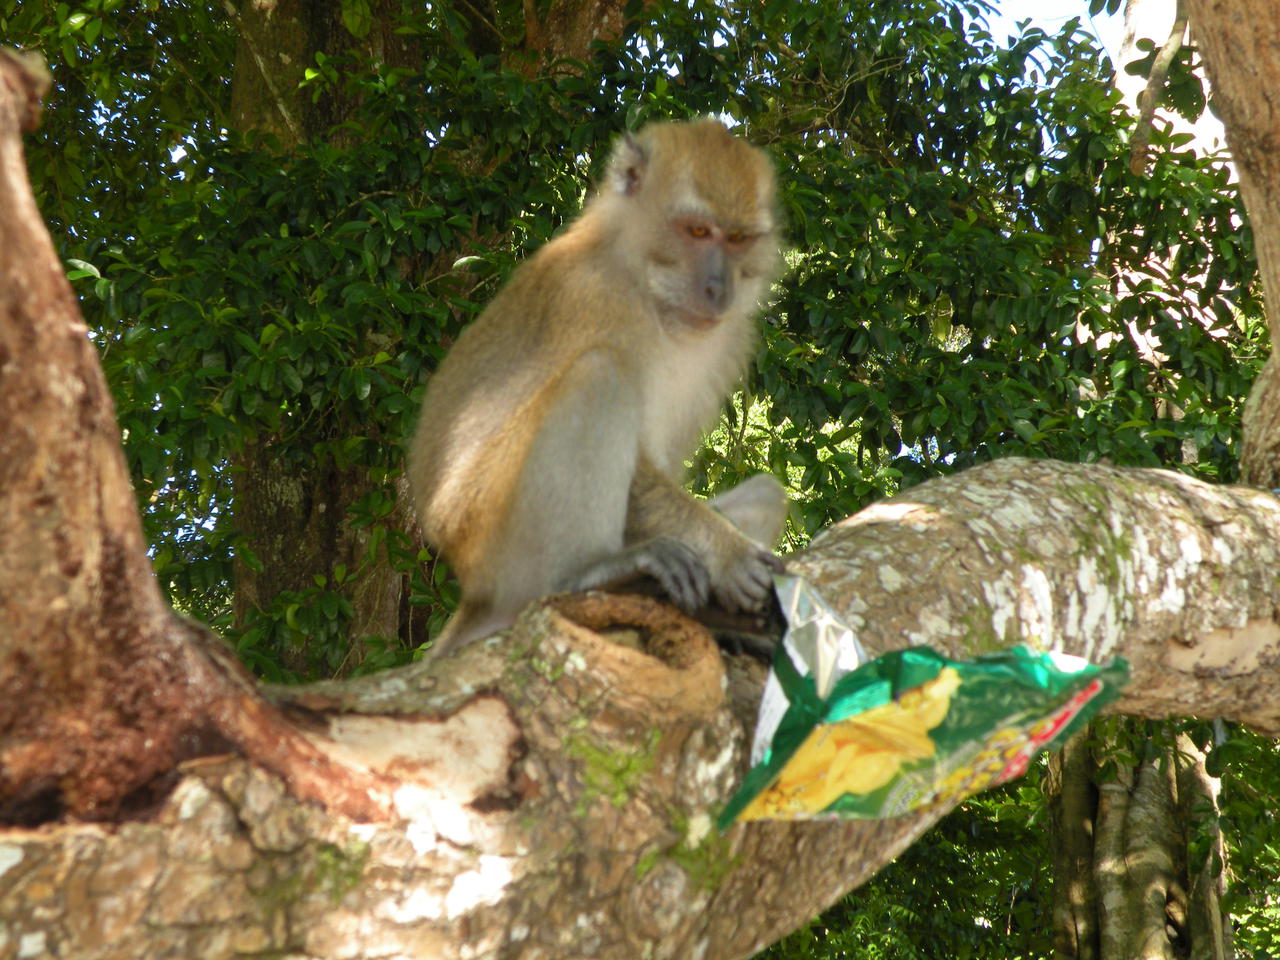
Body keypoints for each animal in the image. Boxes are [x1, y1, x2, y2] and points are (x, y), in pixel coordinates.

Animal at [408, 118, 788, 657]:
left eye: (737, 239)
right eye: (697, 231)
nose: (719, 289)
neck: (647, 285)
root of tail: (473, 594)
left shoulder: (731, 337)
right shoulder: (593, 297)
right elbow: (640, 472)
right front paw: (728, 554)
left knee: (766, 496)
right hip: (498, 541)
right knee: (598, 376)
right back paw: (587, 573)